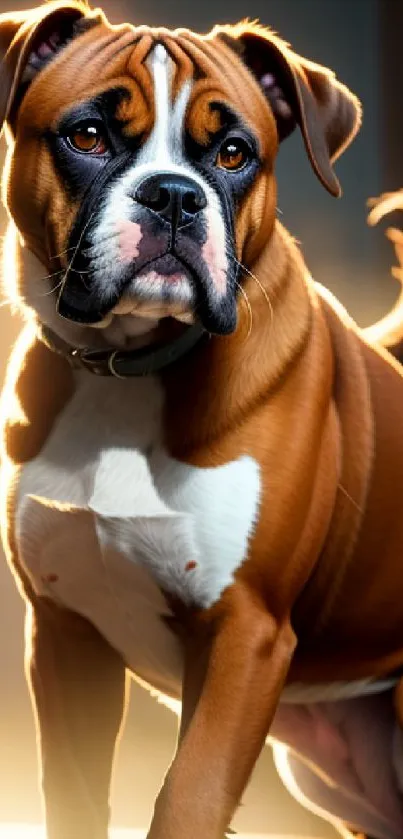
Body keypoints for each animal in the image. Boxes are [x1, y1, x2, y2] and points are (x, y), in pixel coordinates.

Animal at [0, 1, 403, 839]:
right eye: (89, 136)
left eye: (232, 152)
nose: (174, 195)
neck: (125, 366)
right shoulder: (63, 633)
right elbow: (75, 797)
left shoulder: (242, 634)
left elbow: (187, 796)